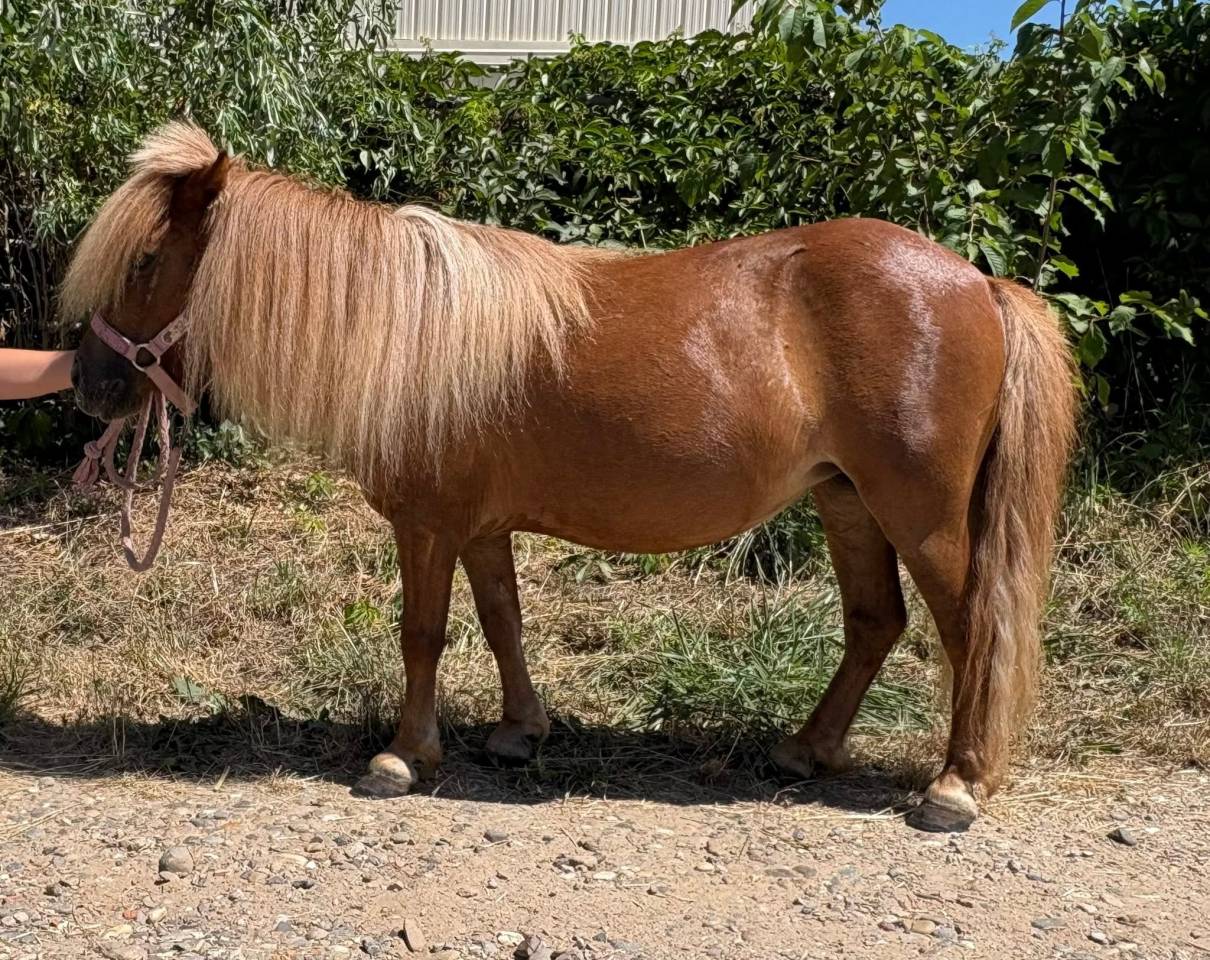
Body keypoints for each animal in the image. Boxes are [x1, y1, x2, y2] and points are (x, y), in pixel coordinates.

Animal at [65, 123, 1077, 831]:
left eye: (146, 260)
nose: (88, 385)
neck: (410, 329)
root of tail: (980, 283)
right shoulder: (479, 526)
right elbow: (501, 622)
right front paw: (520, 732)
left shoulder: (428, 524)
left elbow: (422, 635)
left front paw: (400, 758)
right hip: (847, 500)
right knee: (876, 623)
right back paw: (805, 750)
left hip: (921, 512)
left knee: (970, 629)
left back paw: (955, 785)